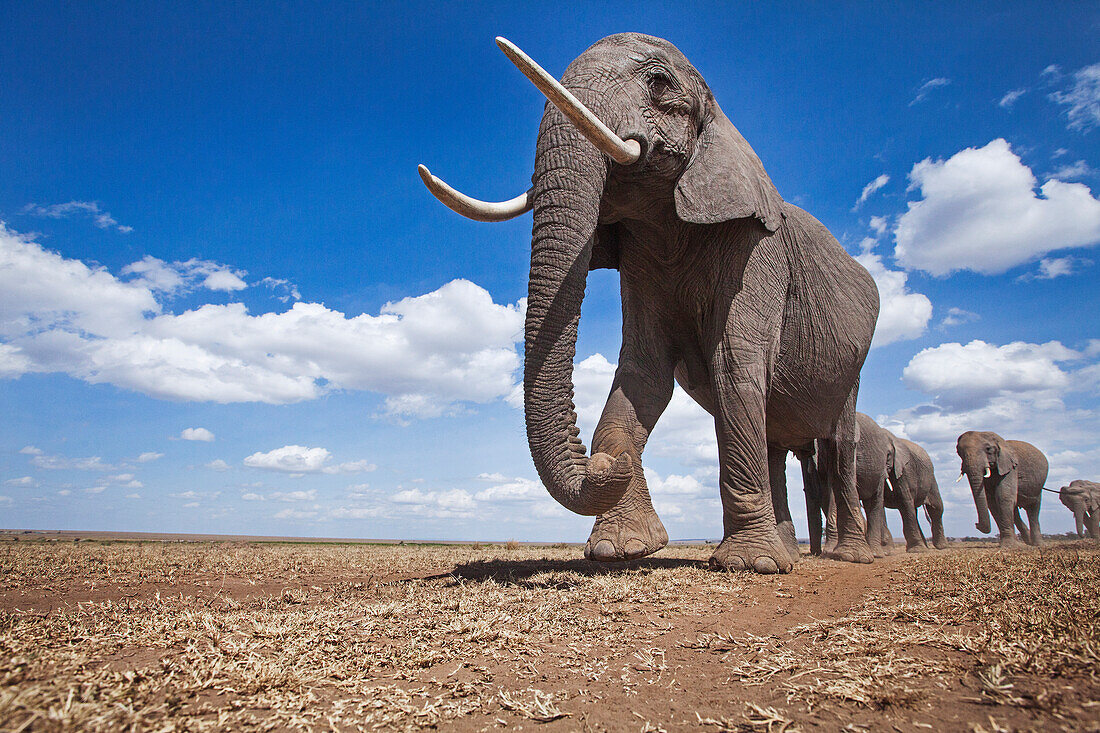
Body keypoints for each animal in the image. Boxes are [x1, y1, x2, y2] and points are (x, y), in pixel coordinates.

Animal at [415, 32, 880, 572]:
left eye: (659, 83)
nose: (599, 463)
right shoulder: (641, 255)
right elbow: (642, 373)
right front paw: (620, 547)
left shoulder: (758, 249)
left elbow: (734, 363)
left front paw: (750, 565)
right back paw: (788, 551)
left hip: (854, 370)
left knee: (839, 443)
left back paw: (848, 558)